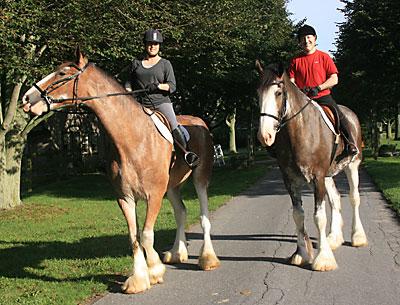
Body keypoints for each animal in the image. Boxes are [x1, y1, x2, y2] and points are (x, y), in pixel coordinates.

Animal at [21, 50, 220, 292]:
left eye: (62, 73)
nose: (27, 99)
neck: (133, 138)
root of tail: (200, 121)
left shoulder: (154, 195)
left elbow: (146, 235)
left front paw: (154, 271)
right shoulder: (125, 198)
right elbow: (133, 237)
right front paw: (138, 279)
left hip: (200, 179)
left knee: (203, 217)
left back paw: (207, 259)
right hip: (172, 187)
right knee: (181, 212)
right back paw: (176, 253)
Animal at [255, 60, 368, 270]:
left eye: (278, 92)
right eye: (258, 93)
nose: (264, 136)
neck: (300, 130)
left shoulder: (317, 178)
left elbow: (319, 216)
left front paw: (323, 258)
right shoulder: (291, 180)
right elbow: (298, 215)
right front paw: (300, 253)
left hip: (352, 166)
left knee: (354, 197)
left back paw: (358, 237)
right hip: (328, 175)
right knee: (335, 199)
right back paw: (334, 238)